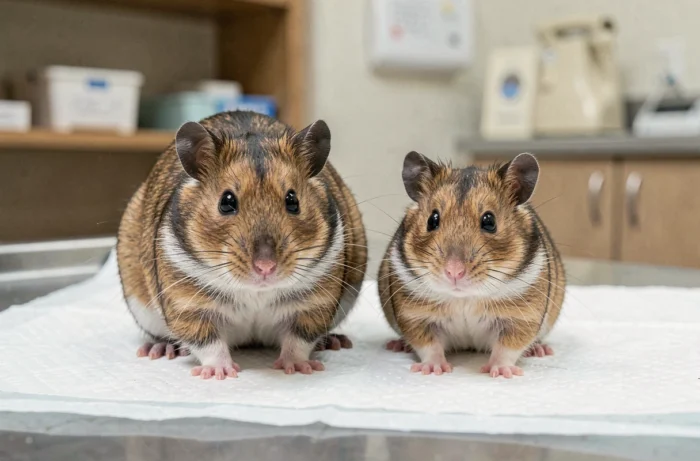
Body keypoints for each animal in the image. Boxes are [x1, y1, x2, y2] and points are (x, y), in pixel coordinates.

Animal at [117, 111, 367, 379]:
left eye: (293, 201)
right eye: (226, 202)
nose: (266, 267)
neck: (256, 291)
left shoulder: (315, 303)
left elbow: (298, 340)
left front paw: (300, 367)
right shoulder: (187, 302)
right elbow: (208, 342)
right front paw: (219, 372)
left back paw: (333, 341)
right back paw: (161, 348)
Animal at [378, 152, 565, 378]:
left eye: (489, 221)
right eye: (432, 219)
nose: (454, 271)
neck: (464, 297)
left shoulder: (521, 317)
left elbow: (507, 348)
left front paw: (501, 372)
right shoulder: (414, 316)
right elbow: (429, 346)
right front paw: (432, 370)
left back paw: (539, 350)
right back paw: (398, 345)